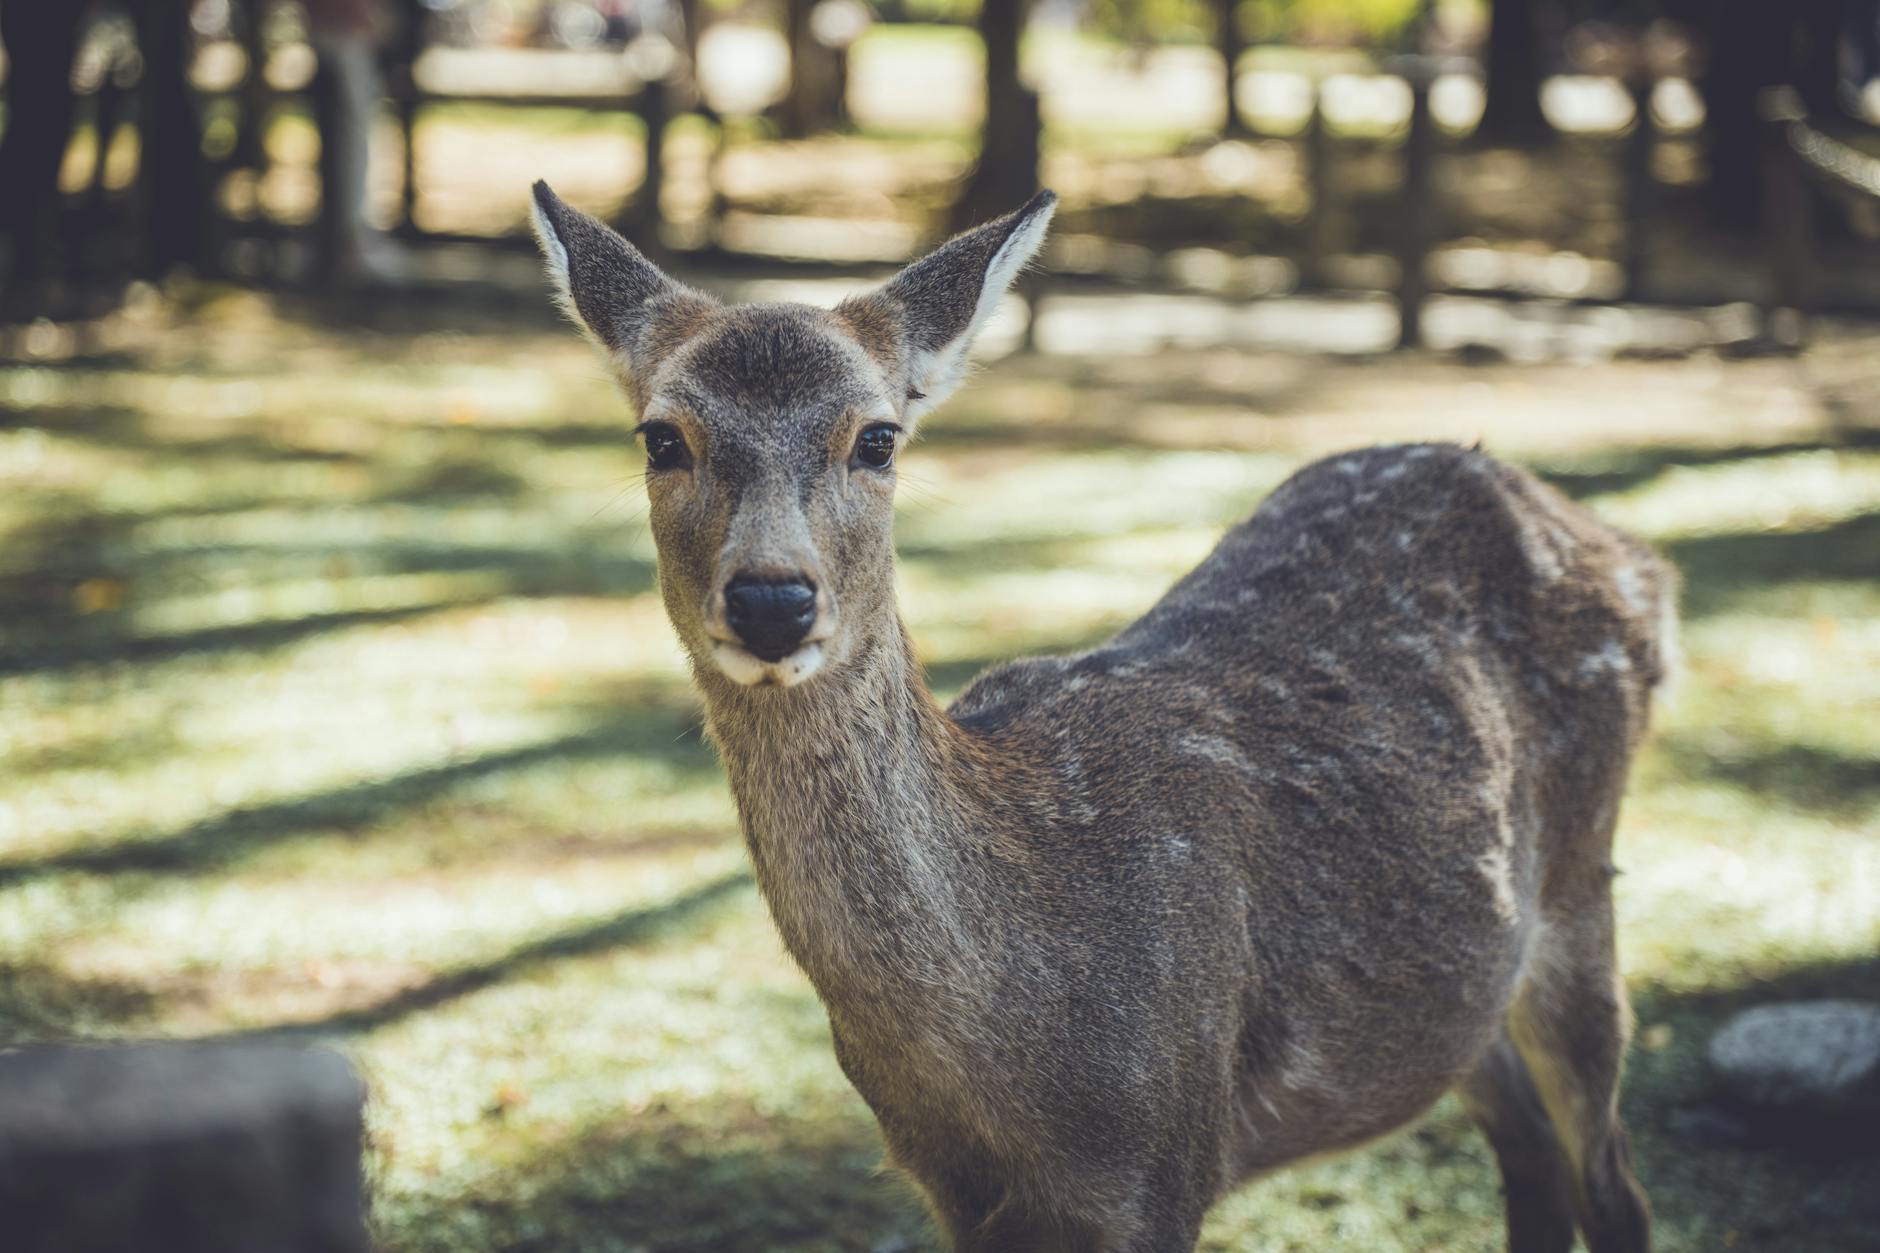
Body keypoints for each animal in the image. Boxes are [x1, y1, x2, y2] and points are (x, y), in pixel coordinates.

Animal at [528, 181, 1672, 1253]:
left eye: (878, 438)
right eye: (661, 438)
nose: (773, 598)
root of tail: (1634, 556)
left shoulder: (1165, 1155)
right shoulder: (955, 1191)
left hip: (1580, 888)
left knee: (1614, 1182)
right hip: (1468, 986)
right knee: (1531, 1154)